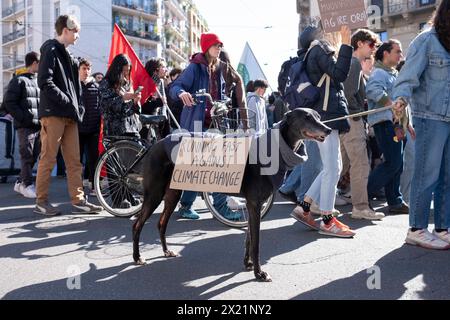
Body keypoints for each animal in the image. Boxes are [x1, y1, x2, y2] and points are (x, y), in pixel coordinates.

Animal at [132, 109, 332, 282]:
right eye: (307, 117)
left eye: (318, 116)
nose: (328, 130)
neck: (274, 149)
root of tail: (155, 144)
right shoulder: (254, 204)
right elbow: (256, 243)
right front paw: (259, 273)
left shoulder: (253, 206)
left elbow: (249, 239)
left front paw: (248, 264)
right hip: (154, 193)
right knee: (137, 224)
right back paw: (137, 257)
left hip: (173, 193)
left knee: (161, 223)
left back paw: (166, 251)